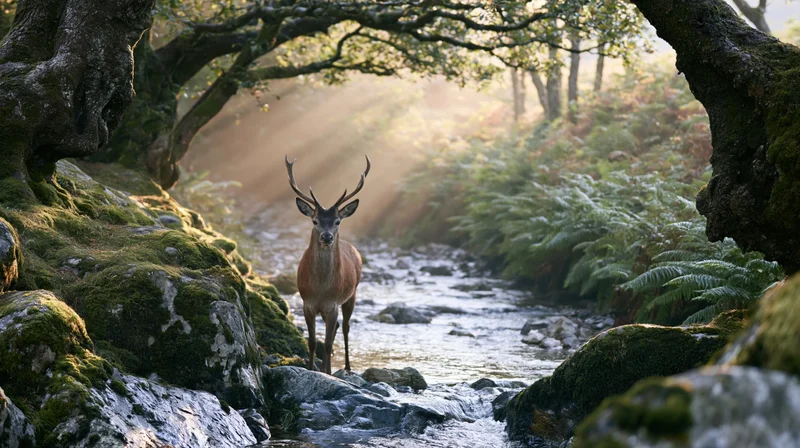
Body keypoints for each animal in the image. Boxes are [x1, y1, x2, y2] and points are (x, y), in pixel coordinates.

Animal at [285, 155, 370, 375]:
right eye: (315, 220)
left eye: (337, 221)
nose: (327, 237)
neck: (321, 289)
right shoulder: (307, 303)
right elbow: (313, 342)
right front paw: (312, 368)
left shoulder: (333, 304)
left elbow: (329, 341)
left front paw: (327, 373)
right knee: (338, 328)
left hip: (352, 294)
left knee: (346, 327)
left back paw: (347, 367)